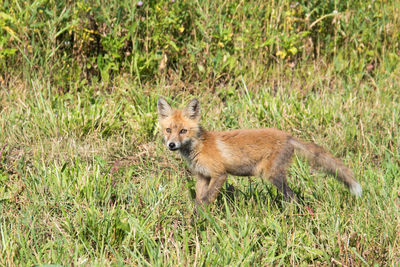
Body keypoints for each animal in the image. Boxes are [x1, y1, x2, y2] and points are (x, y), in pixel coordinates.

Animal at [157, 97, 362, 208]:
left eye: (183, 131)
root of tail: (288, 136)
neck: (199, 147)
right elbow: (198, 202)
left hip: (272, 176)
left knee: (293, 198)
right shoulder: (202, 177)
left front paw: (200, 222)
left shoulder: (219, 174)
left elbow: (206, 201)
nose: (172, 145)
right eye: (168, 130)